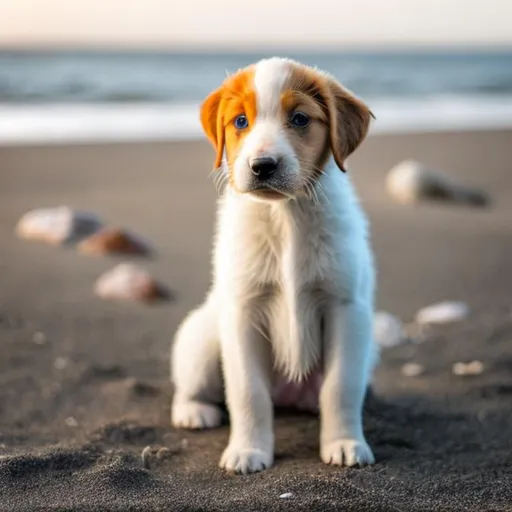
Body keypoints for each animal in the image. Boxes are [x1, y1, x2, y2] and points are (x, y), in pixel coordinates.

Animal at [171, 58, 376, 474]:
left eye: (299, 119)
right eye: (240, 121)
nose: (262, 165)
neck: (285, 217)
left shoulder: (347, 309)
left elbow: (341, 386)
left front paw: (344, 443)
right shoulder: (244, 311)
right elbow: (248, 391)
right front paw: (248, 451)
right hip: (201, 338)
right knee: (192, 385)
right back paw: (193, 411)